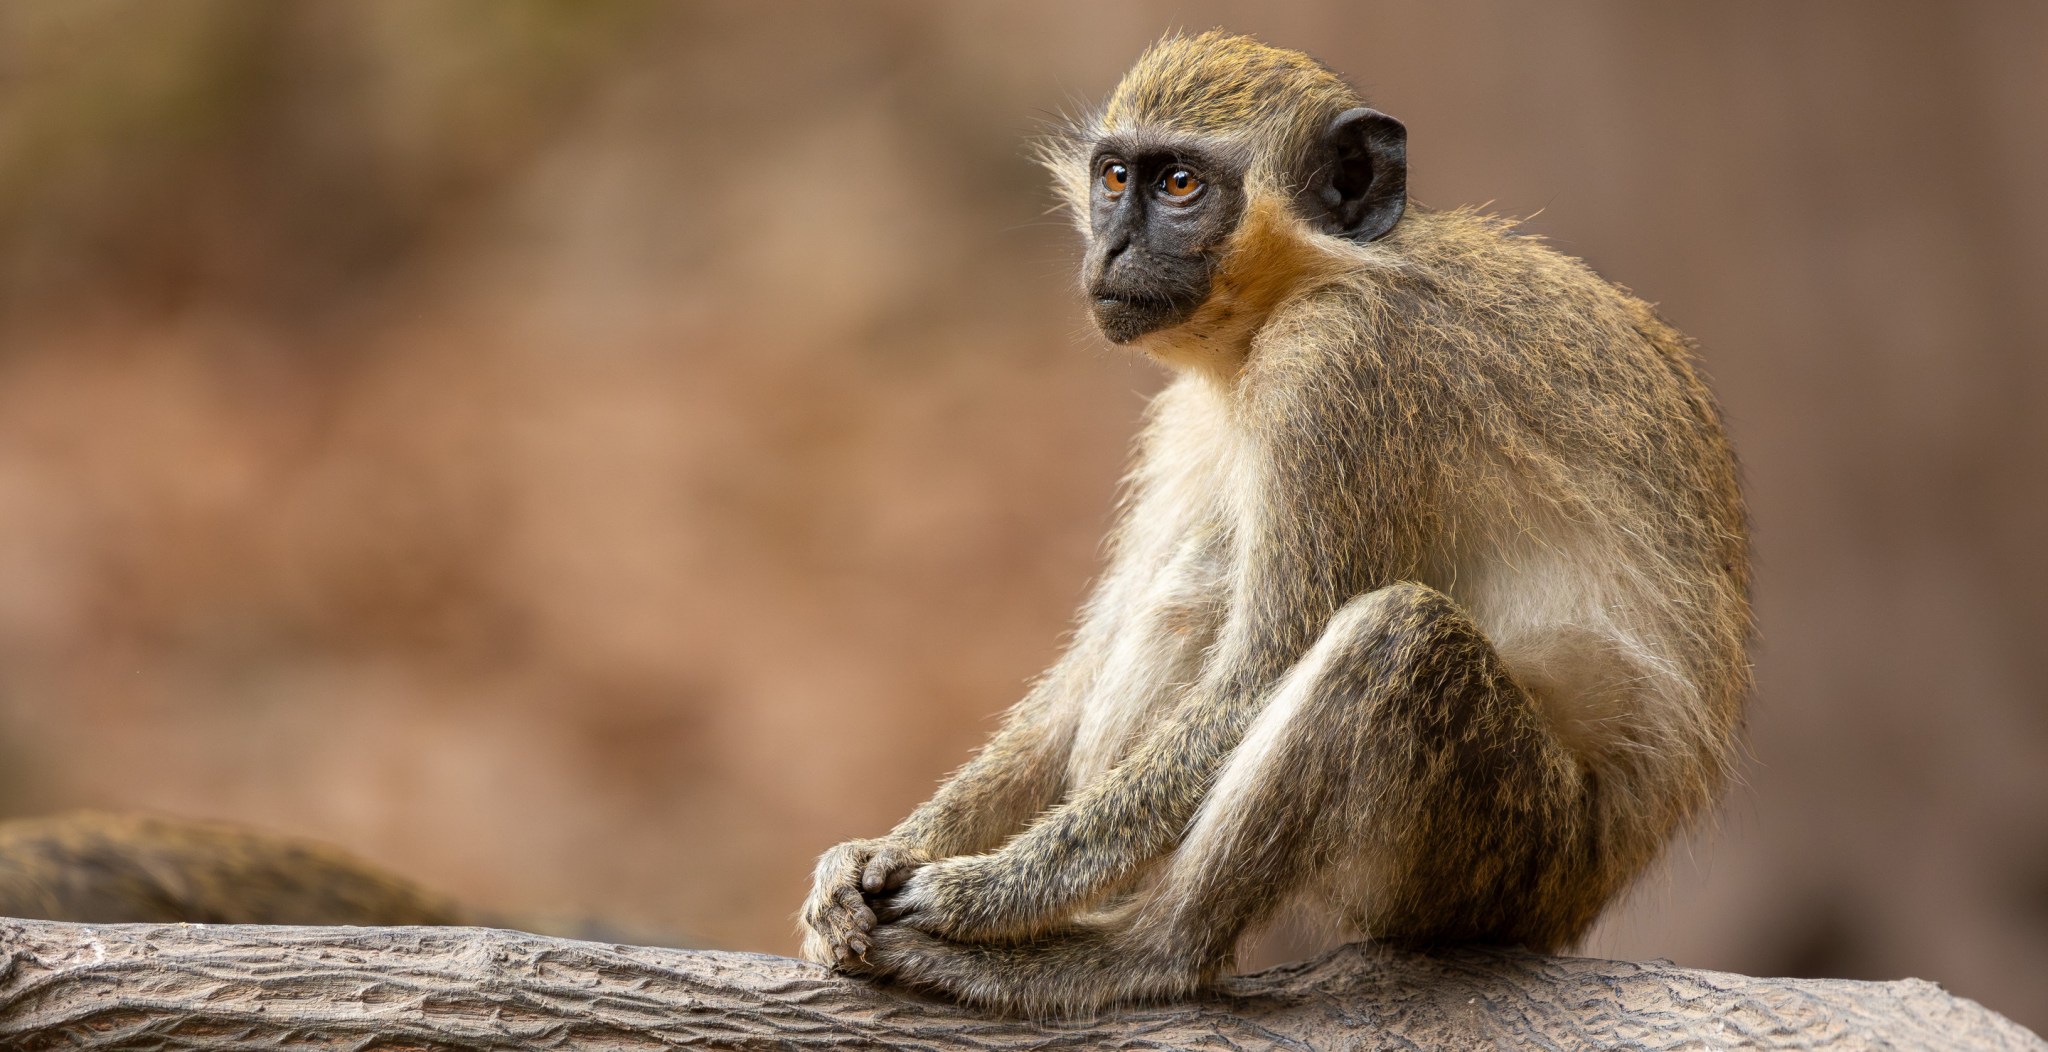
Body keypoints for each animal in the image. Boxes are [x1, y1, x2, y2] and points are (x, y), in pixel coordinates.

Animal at [798, 30, 1751, 1018]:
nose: (1112, 248)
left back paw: (1141, 951)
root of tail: (1591, 888)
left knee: (1394, 637)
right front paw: (882, 852)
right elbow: (1077, 684)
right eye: (1115, 177)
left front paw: (978, 893)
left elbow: (1258, 676)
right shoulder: (1187, 416)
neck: (1301, 288)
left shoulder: (1334, 366)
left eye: (1180, 184)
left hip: (1513, 852)